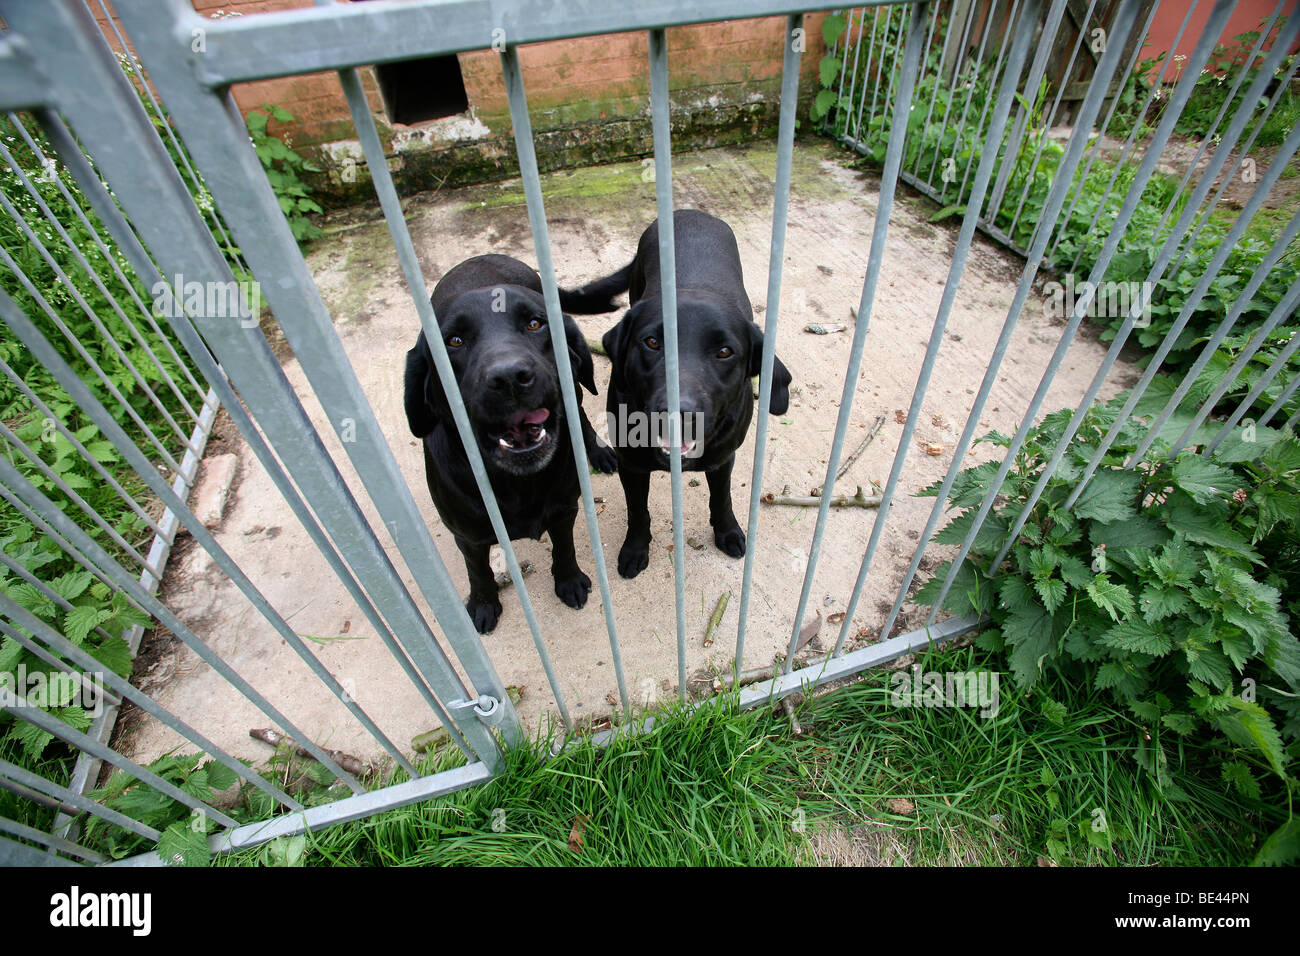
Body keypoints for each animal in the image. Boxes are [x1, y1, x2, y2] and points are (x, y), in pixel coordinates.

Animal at [405, 254, 624, 632]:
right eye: (454, 341)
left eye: (535, 324)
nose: (509, 377)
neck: (517, 484)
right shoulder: (468, 536)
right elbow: (477, 571)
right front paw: (483, 603)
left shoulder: (563, 509)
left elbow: (564, 548)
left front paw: (568, 580)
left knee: (579, 408)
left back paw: (596, 452)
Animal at [598, 210, 790, 580]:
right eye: (652, 342)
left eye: (725, 352)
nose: (678, 413)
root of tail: (689, 211)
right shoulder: (631, 463)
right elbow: (637, 511)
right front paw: (635, 549)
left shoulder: (723, 457)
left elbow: (722, 498)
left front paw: (728, 532)